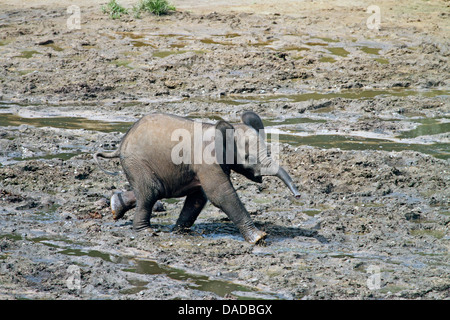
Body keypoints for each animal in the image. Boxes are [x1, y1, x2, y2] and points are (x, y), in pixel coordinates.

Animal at [93, 111, 300, 244]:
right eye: (249, 157)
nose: (297, 195)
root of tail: (121, 144)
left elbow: (198, 197)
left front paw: (179, 232)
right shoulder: (207, 160)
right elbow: (220, 194)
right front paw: (259, 238)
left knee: (154, 191)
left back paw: (116, 205)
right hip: (137, 162)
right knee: (150, 192)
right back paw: (147, 233)